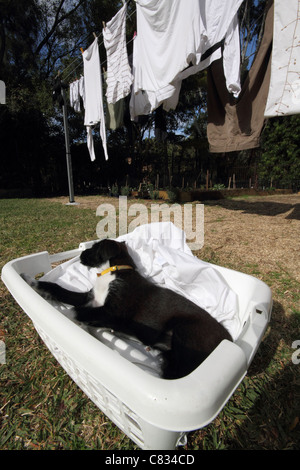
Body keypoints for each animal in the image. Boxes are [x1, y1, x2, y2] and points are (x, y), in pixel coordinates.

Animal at [24, 239, 233, 378]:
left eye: (94, 247)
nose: (80, 255)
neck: (113, 272)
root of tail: (228, 339)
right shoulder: (90, 298)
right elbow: (59, 290)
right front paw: (34, 283)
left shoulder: (112, 312)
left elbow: (76, 311)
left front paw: (59, 315)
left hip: (185, 334)